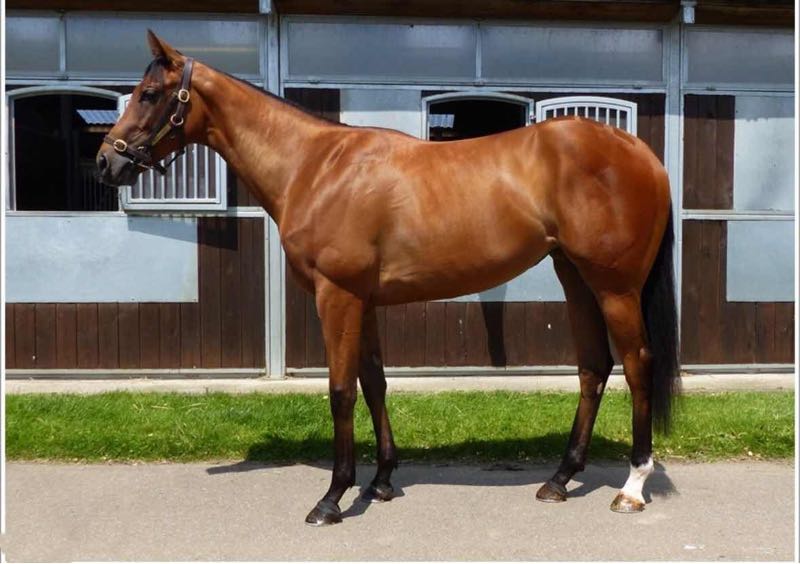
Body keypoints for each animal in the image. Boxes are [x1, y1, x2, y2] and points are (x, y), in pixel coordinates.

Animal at [97, 31, 680, 526]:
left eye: (149, 94)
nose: (106, 162)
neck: (315, 166)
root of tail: (641, 153)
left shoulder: (337, 296)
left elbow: (340, 391)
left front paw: (332, 498)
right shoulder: (365, 300)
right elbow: (374, 382)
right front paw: (380, 482)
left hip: (615, 287)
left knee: (636, 365)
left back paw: (631, 486)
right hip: (574, 277)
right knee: (593, 367)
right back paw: (559, 478)